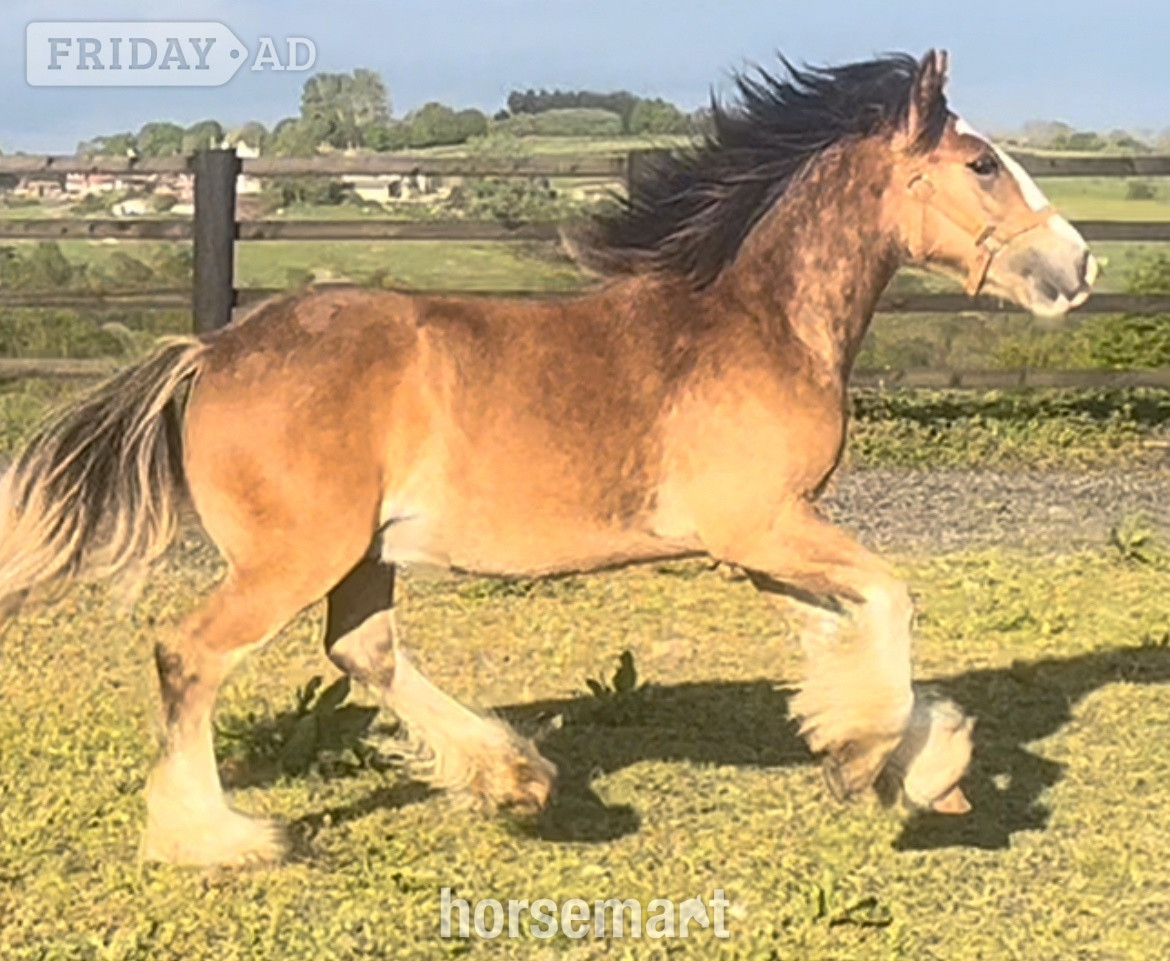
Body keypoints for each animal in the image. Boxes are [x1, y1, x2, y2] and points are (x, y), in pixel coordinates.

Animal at [0, 50, 1097, 865]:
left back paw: (516, 778)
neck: (757, 325)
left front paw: (896, 761)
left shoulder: (758, 544)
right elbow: (891, 600)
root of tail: (211, 351)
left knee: (362, 651)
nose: (1079, 265)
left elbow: (846, 627)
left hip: (363, 554)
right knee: (192, 652)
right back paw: (217, 838)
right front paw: (898, 763)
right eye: (983, 164)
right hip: (295, 554)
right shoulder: (762, 525)